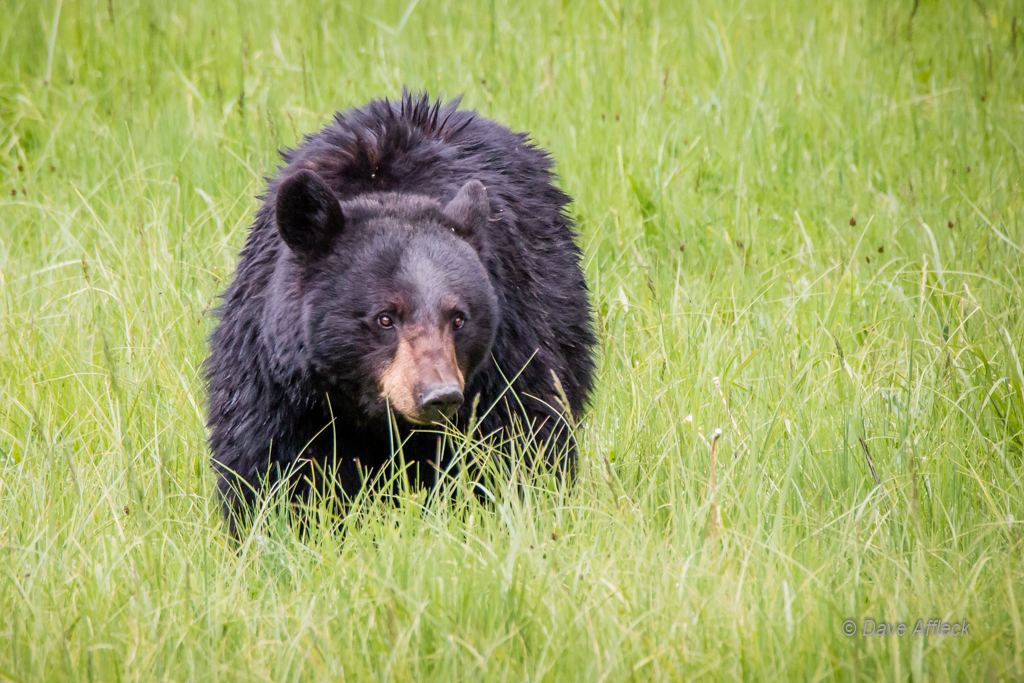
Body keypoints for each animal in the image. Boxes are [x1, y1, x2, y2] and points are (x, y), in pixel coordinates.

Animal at [204, 90, 598, 532]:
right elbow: (271, 462)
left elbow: (517, 438)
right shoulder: (276, 377)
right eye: (385, 318)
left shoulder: (508, 351)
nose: (439, 395)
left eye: (458, 318)